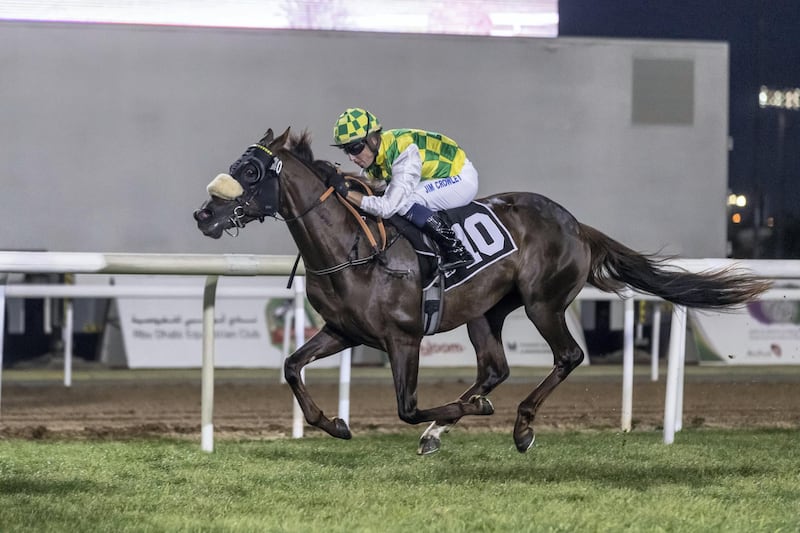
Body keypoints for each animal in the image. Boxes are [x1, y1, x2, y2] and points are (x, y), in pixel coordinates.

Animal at [192, 128, 768, 454]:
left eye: (251, 170)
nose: (204, 214)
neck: (352, 247)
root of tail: (576, 224)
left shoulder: (404, 339)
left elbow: (408, 407)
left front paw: (458, 416)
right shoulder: (344, 330)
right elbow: (291, 366)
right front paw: (334, 423)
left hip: (542, 303)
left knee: (567, 355)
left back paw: (518, 426)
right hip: (484, 312)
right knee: (495, 368)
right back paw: (451, 427)